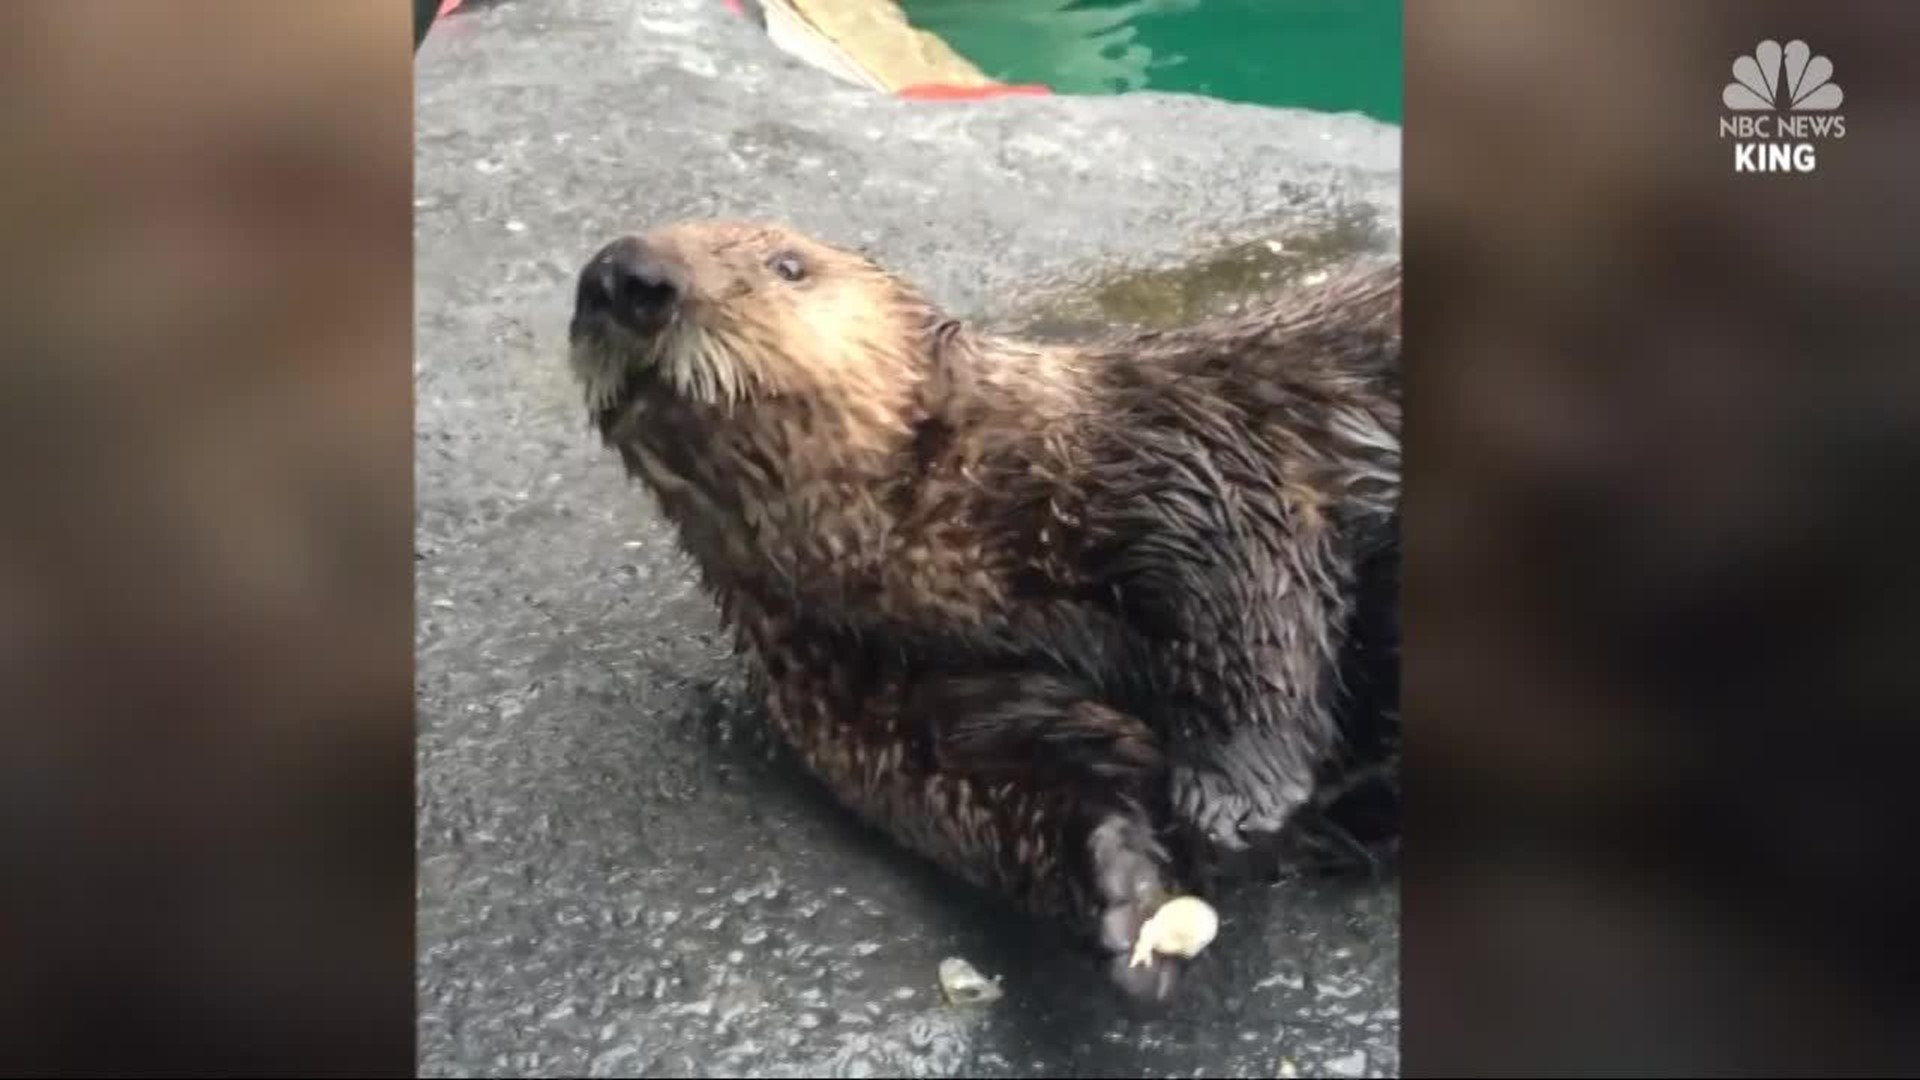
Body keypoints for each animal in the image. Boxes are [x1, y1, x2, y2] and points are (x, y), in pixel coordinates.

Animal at [564, 220, 1401, 1003]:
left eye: (788, 266)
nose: (627, 275)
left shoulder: (1173, 464)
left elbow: (1242, 584)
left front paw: (1233, 801)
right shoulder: (875, 700)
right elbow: (1009, 782)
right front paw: (1125, 900)